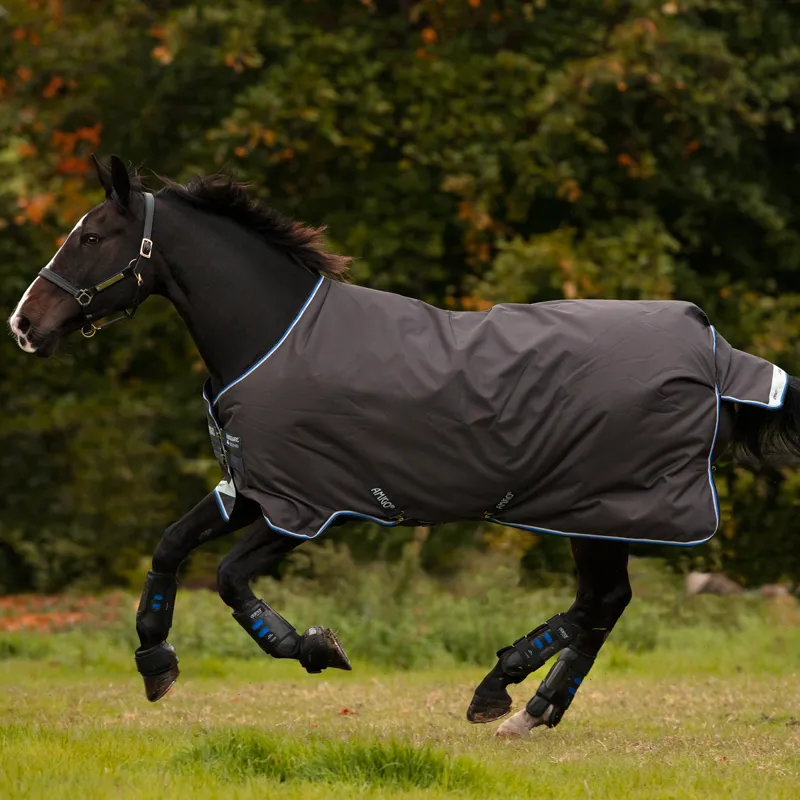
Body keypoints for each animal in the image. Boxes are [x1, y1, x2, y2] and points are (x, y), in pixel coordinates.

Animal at [9, 155, 800, 738]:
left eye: (90, 237)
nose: (23, 325)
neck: (271, 339)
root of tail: (710, 345)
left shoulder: (306, 507)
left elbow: (231, 579)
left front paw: (316, 648)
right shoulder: (253, 489)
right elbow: (171, 546)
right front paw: (154, 662)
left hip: (598, 507)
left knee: (600, 602)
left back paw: (500, 688)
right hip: (596, 513)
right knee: (605, 604)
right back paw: (533, 709)